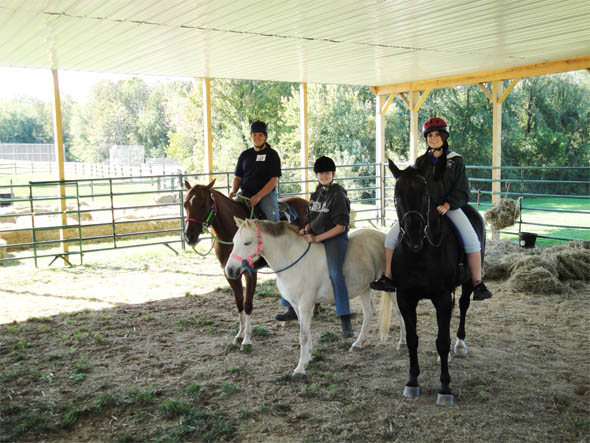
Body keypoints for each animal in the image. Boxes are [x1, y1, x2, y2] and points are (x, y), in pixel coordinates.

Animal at [185, 179, 310, 348]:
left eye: (203, 205)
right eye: (185, 204)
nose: (189, 236)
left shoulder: (251, 273)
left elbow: (247, 304)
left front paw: (247, 339)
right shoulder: (229, 273)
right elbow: (239, 303)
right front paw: (239, 335)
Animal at [224, 218, 404, 374]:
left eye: (247, 242)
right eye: (233, 241)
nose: (230, 271)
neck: (294, 261)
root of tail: (384, 238)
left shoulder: (305, 305)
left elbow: (303, 335)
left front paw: (300, 368)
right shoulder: (297, 306)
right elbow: (306, 331)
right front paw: (308, 358)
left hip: (391, 291)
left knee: (400, 313)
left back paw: (402, 343)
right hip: (364, 288)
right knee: (368, 313)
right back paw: (358, 343)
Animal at [388, 160, 486, 406]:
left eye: (425, 195)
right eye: (396, 196)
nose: (413, 237)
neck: (419, 253)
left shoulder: (441, 298)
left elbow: (442, 341)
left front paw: (445, 388)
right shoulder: (405, 298)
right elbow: (412, 339)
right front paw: (412, 382)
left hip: (467, 283)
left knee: (463, 306)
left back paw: (459, 345)